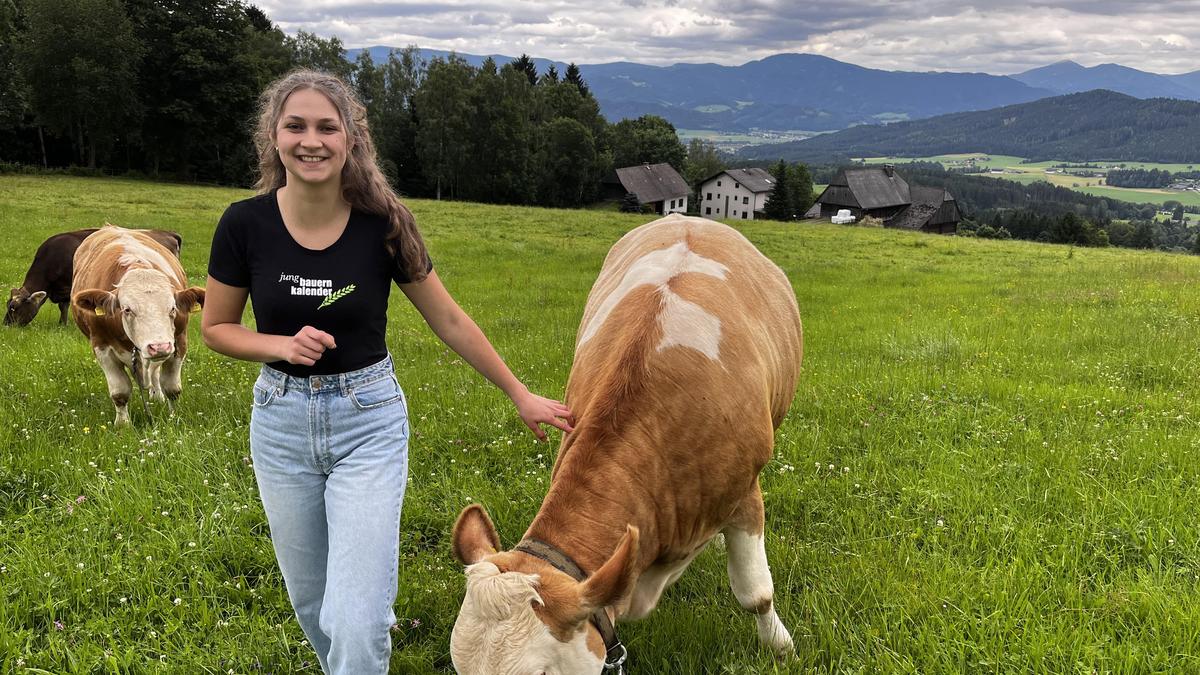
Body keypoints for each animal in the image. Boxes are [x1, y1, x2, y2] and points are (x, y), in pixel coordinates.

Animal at [6, 225, 182, 326]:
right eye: (7, 305)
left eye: (14, 308)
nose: (6, 325)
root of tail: (169, 233)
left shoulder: (69, 287)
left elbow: (64, 306)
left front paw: (63, 324)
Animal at [70, 225, 204, 425]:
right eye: (127, 310)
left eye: (172, 308)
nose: (159, 346)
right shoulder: (101, 347)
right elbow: (120, 392)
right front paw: (123, 425)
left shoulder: (179, 342)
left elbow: (172, 388)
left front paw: (174, 418)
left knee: (155, 373)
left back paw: (157, 396)